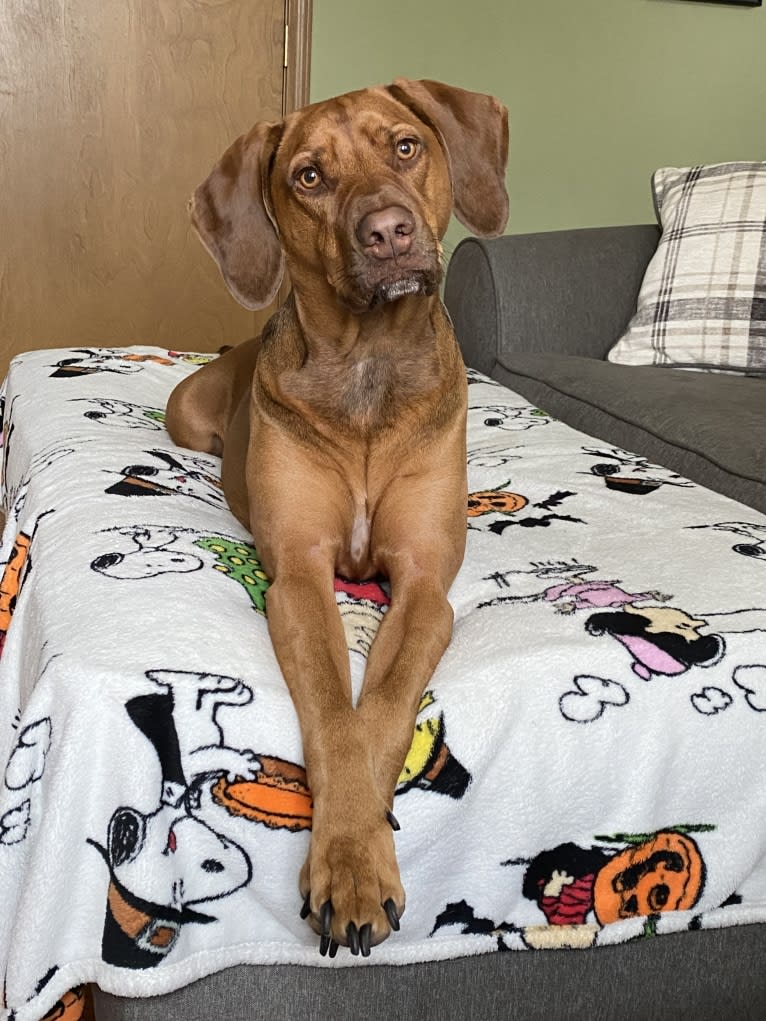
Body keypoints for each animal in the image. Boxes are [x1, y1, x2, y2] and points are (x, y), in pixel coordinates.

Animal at [167, 79, 510, 955]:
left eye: (405, 146)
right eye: (310, 177)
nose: (387, 231)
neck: (367, 366)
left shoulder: (423, 585)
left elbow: (379, 710)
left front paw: (361, 853)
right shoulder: (298, 576)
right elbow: (333, 713)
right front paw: (350, 862)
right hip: (184, 414)